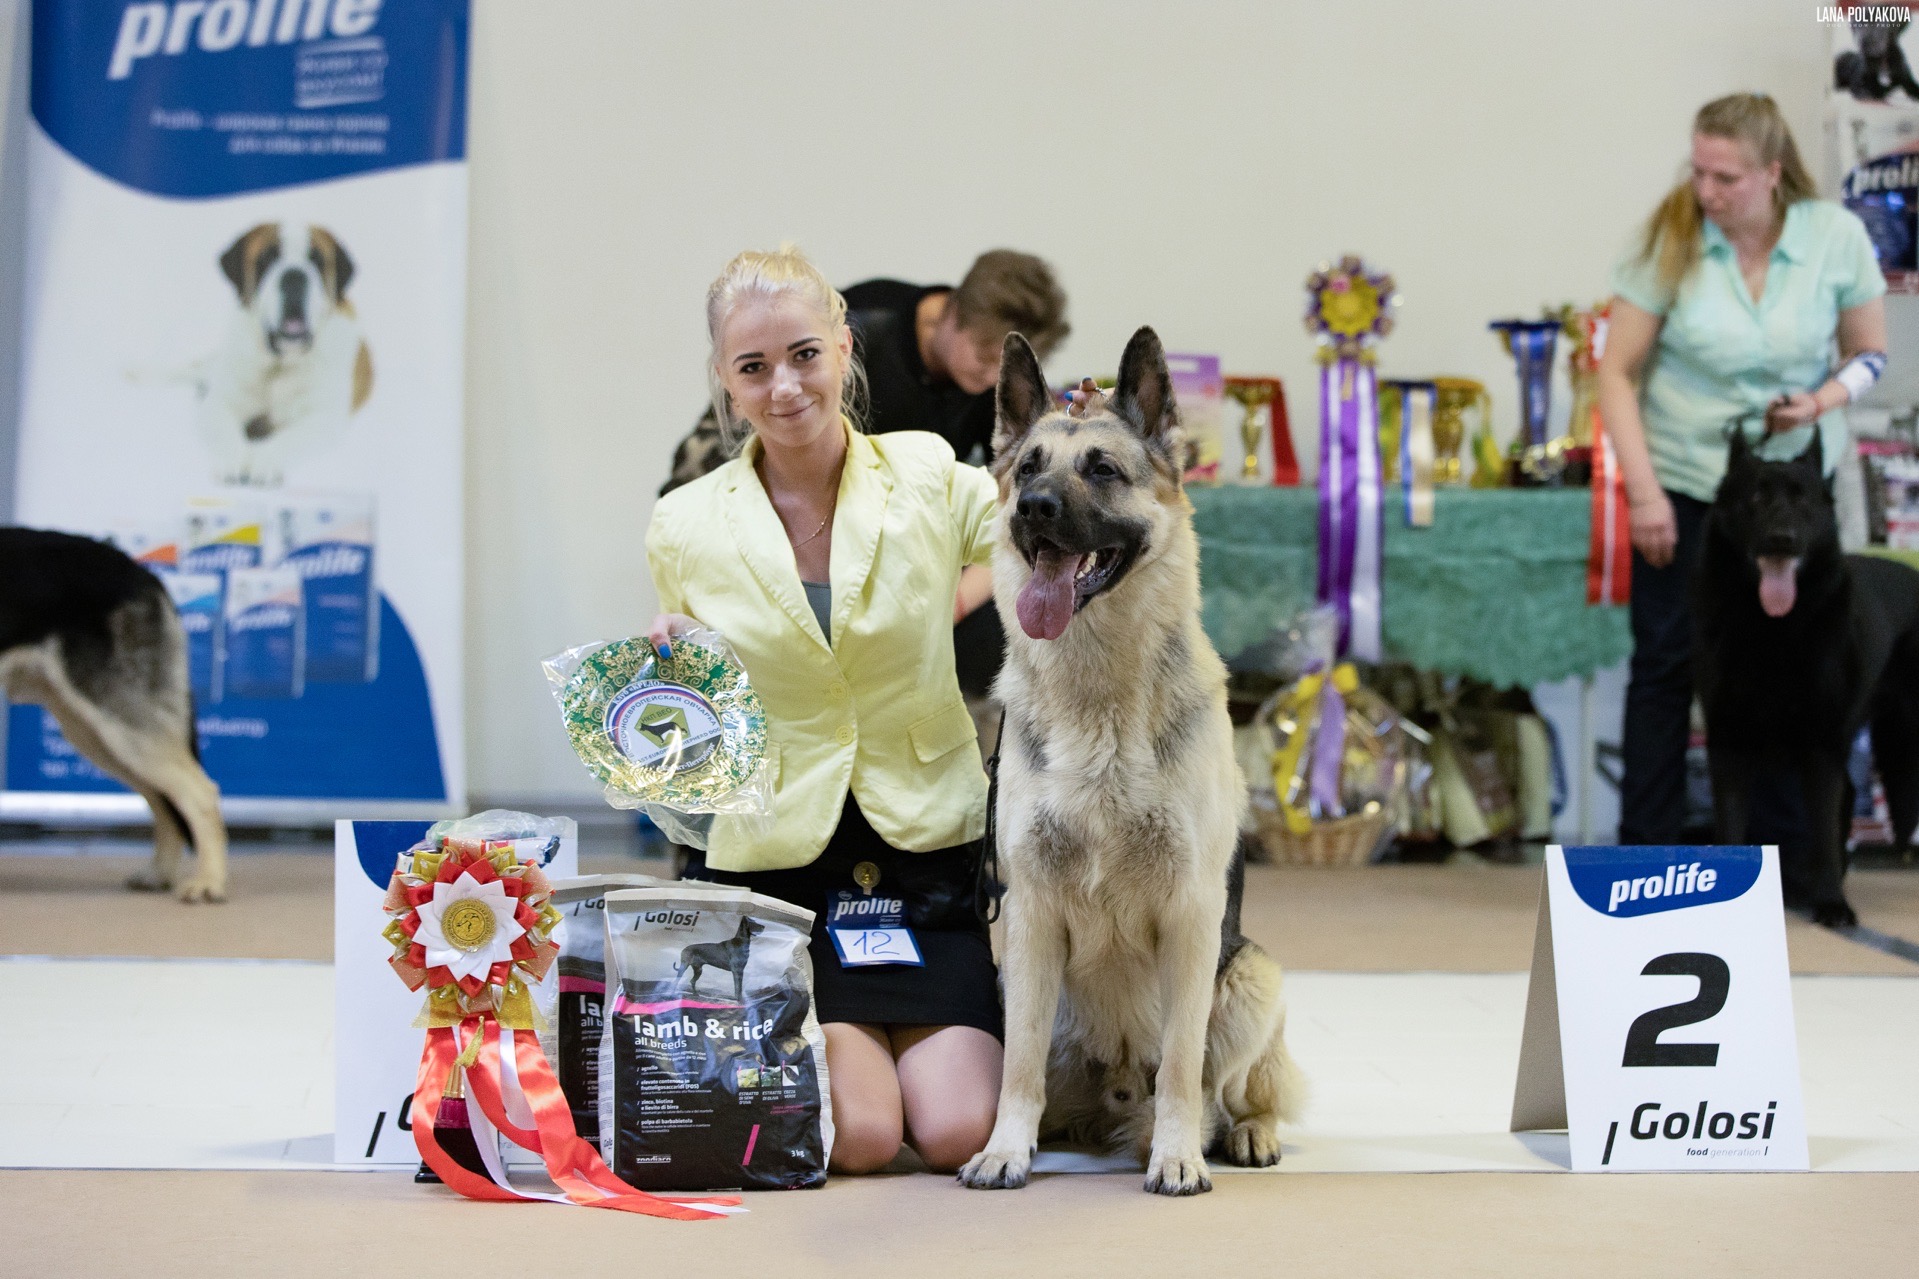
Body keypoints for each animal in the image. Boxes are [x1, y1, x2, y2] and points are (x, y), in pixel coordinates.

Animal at [0, 526, 226, 894]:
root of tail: (142, 572)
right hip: (97, 734)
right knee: (163, 799)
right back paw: (160, 874)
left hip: (121, 729)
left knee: (199, 793)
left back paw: (209, 882)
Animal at [959, 324, 1304, 1190]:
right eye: (1028, 469)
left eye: (1102, 471)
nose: (1033, 509)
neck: (1100, 702)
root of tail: (1112, 1100)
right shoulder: (1030, 917)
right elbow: (1015, 1068)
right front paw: (1005, 1149)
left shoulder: (1191, 917)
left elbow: (1182, 1066)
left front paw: (1177, 1154)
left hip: (1251, 977)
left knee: (1238, 1089)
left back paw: (1240, 1135)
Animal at [1696, 426, 1919, 917]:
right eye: (1756, 498)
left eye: (1803, 501)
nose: (1782, 539)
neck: (1774, 629)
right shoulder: (1728, 743)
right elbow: (1732, 826)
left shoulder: (1822, 746)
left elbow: (1821, 830)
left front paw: (1832, 905)